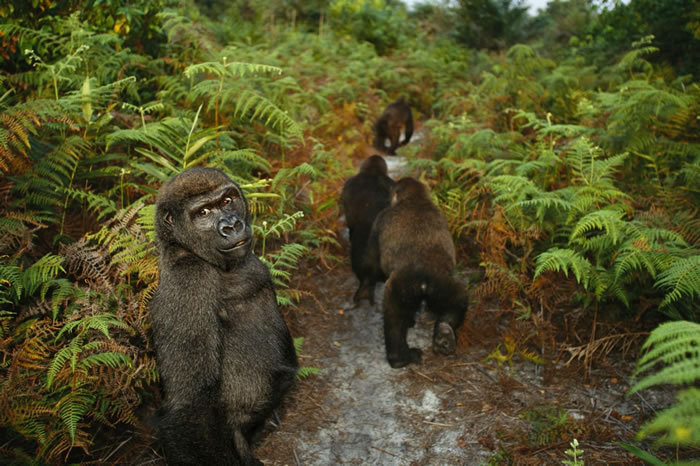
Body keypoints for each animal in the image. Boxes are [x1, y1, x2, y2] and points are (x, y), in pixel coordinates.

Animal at [364, 177, 468, 368]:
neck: (415, 198)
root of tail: (425, 277)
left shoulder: (380, 218)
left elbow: (371, 261)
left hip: (401, 286)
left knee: (393, 318)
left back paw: (398, 358)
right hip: (443, 282)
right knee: (458, 300)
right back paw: (444, 335)